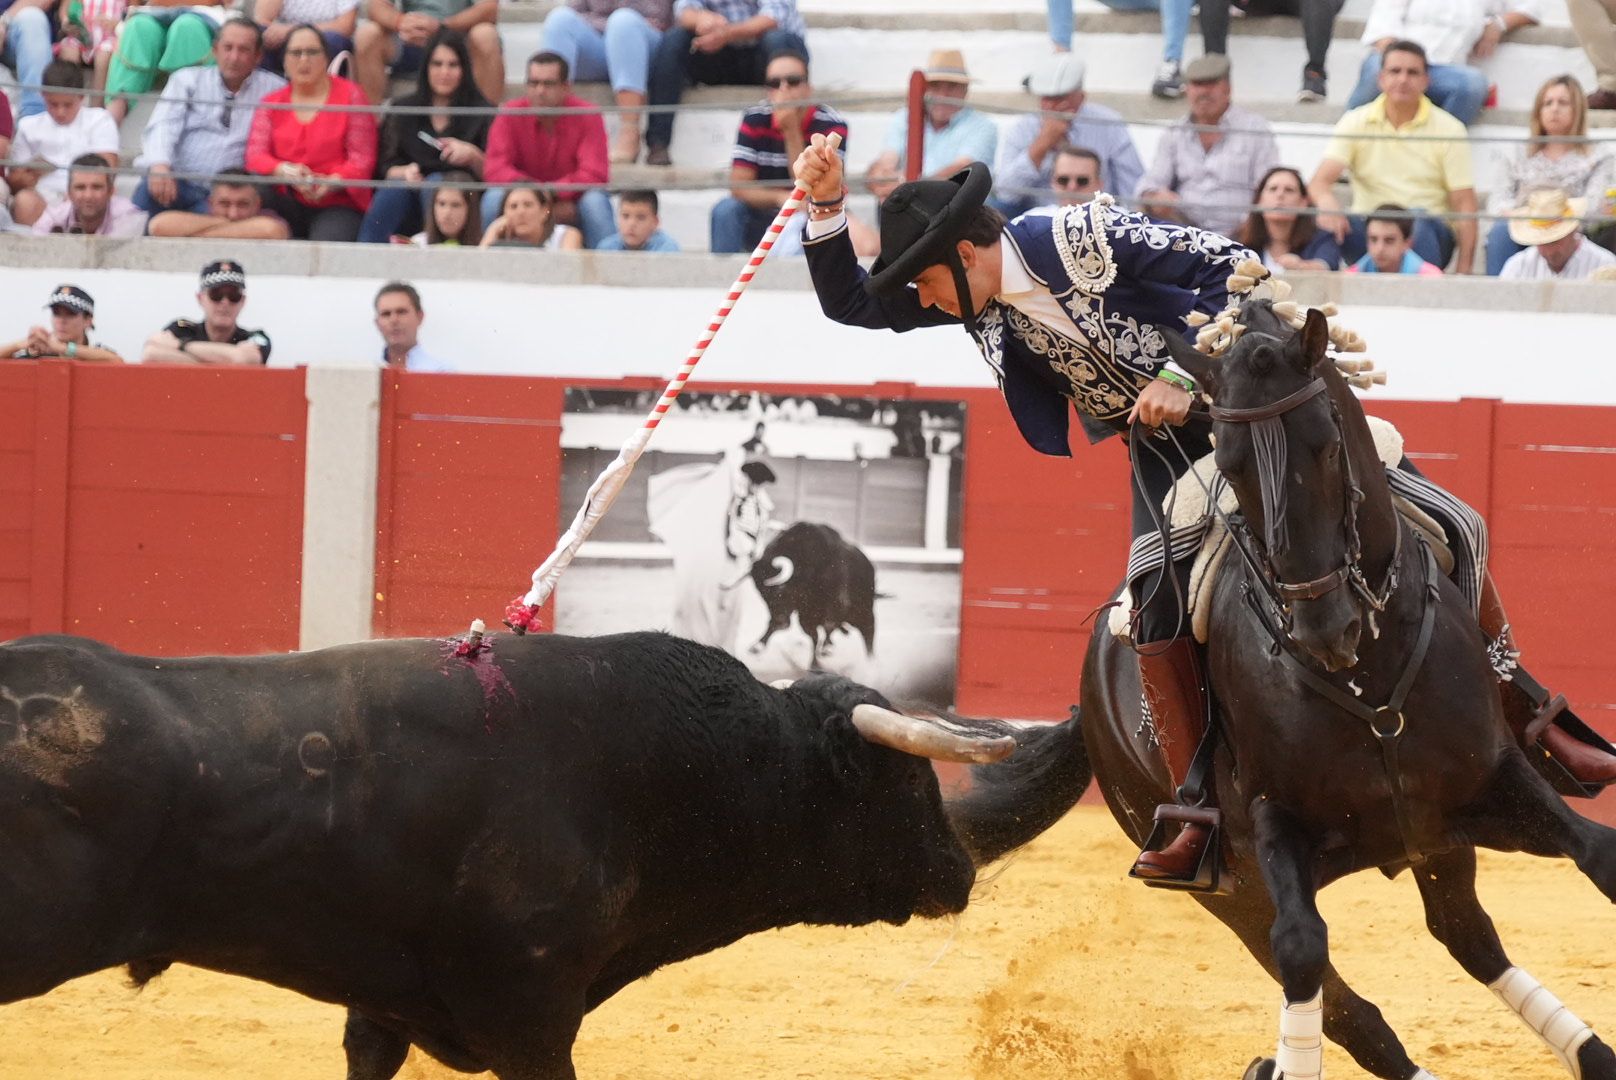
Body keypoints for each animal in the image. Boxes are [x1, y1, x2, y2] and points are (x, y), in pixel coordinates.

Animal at [1073, 303, 1616, 1080]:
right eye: (1229, 464)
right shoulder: (1274, 827)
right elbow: (1304, 953)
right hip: (1233, 888)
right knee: (1346, 998)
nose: (1323, 626)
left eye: (1327, 445)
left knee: (1467, 935)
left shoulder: (1489, 780)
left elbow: (1599, 855)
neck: (1368, 673)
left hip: (1435, 841)